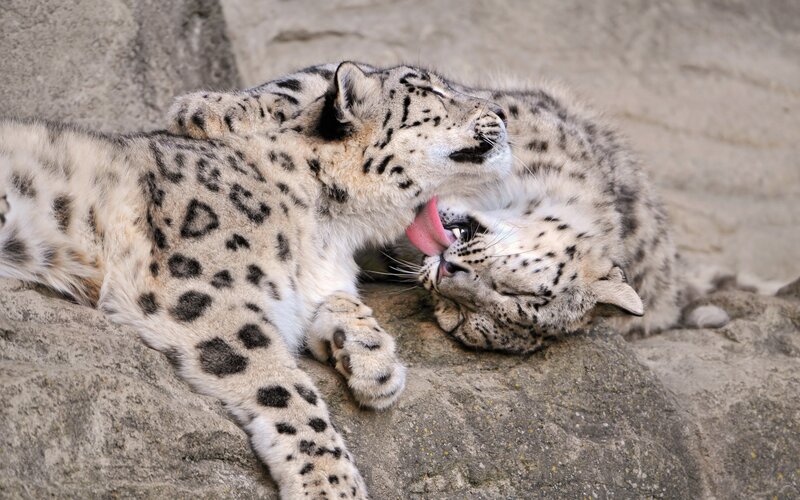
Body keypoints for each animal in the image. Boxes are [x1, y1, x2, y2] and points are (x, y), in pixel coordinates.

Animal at [0, 61, 511, 498]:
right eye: (433, 91)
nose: (503, 115)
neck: (331, 232)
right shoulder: (203, 292)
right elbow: (285, 388)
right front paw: (330, 483)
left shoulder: (309, 287)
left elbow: (340, 302)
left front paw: (375, 362)